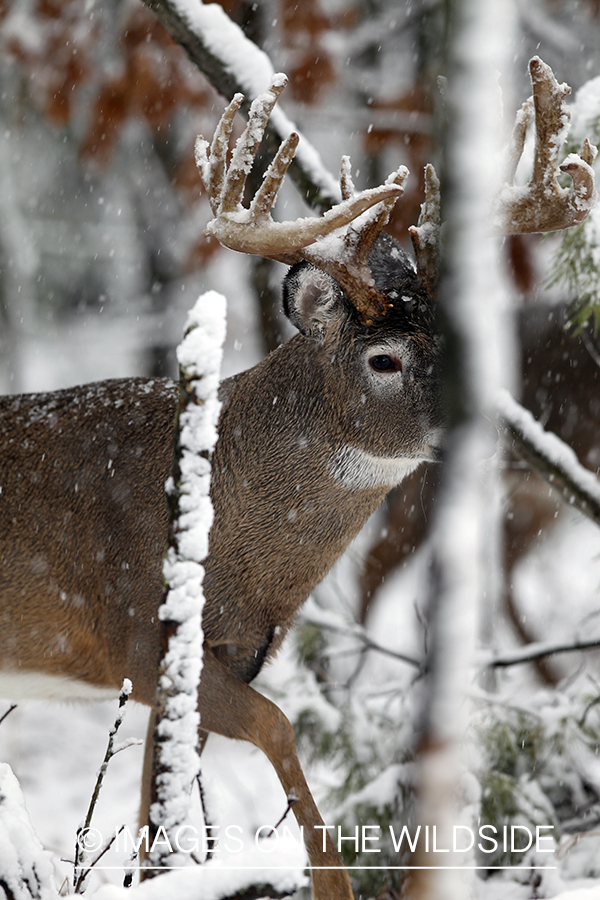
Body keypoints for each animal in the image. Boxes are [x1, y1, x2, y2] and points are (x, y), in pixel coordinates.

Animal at [0, 58, 596, 900]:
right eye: (383, 358)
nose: (487, 415)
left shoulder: (215, 658)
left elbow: (157, 808)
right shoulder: (137, 636)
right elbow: (278, 726)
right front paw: (331, 882)